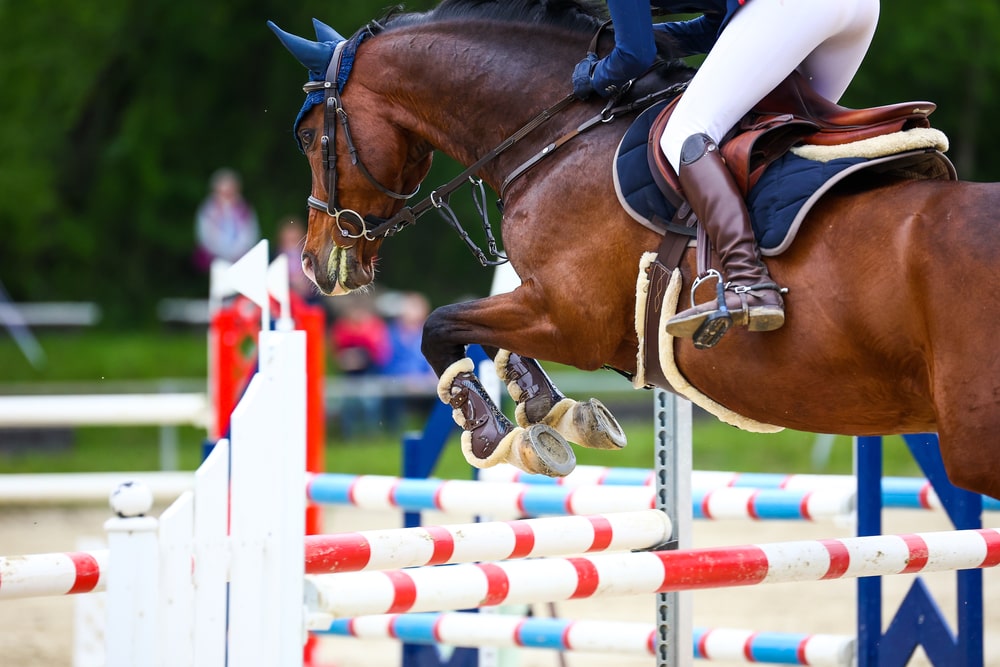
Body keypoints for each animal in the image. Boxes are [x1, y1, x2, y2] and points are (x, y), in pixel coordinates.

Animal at [274, 1, 1000, 500]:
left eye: (309, 136)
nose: (314, 263)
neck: (561, 133)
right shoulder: (554, 309)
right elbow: (482, 336)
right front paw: (551, 411)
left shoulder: (573, 319)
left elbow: (438, 324)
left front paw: (494, 432)